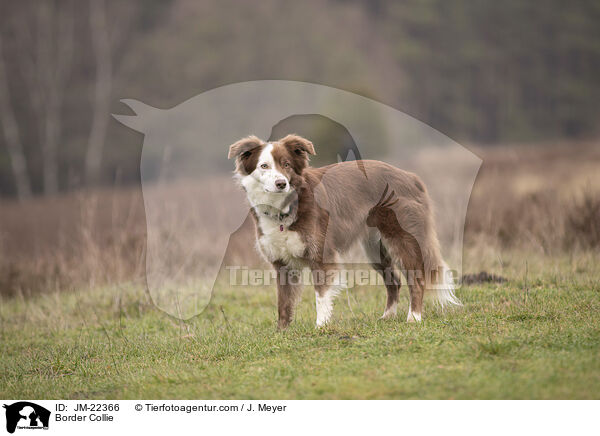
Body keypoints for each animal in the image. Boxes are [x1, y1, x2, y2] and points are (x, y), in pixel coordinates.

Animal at [229, 135, 460, 328]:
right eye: (264, 166)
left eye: (286, 164)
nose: (281, 183)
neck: (283, 208)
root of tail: (411, 176)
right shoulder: (282, 263)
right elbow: (283, 302)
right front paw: (282, 331)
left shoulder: (320, 255)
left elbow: (321, 295)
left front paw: (321, 326)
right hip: (375, 250)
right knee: (394, 281)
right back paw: (387, 316)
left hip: (402, 239)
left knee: (417, 279)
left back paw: (414, 317)